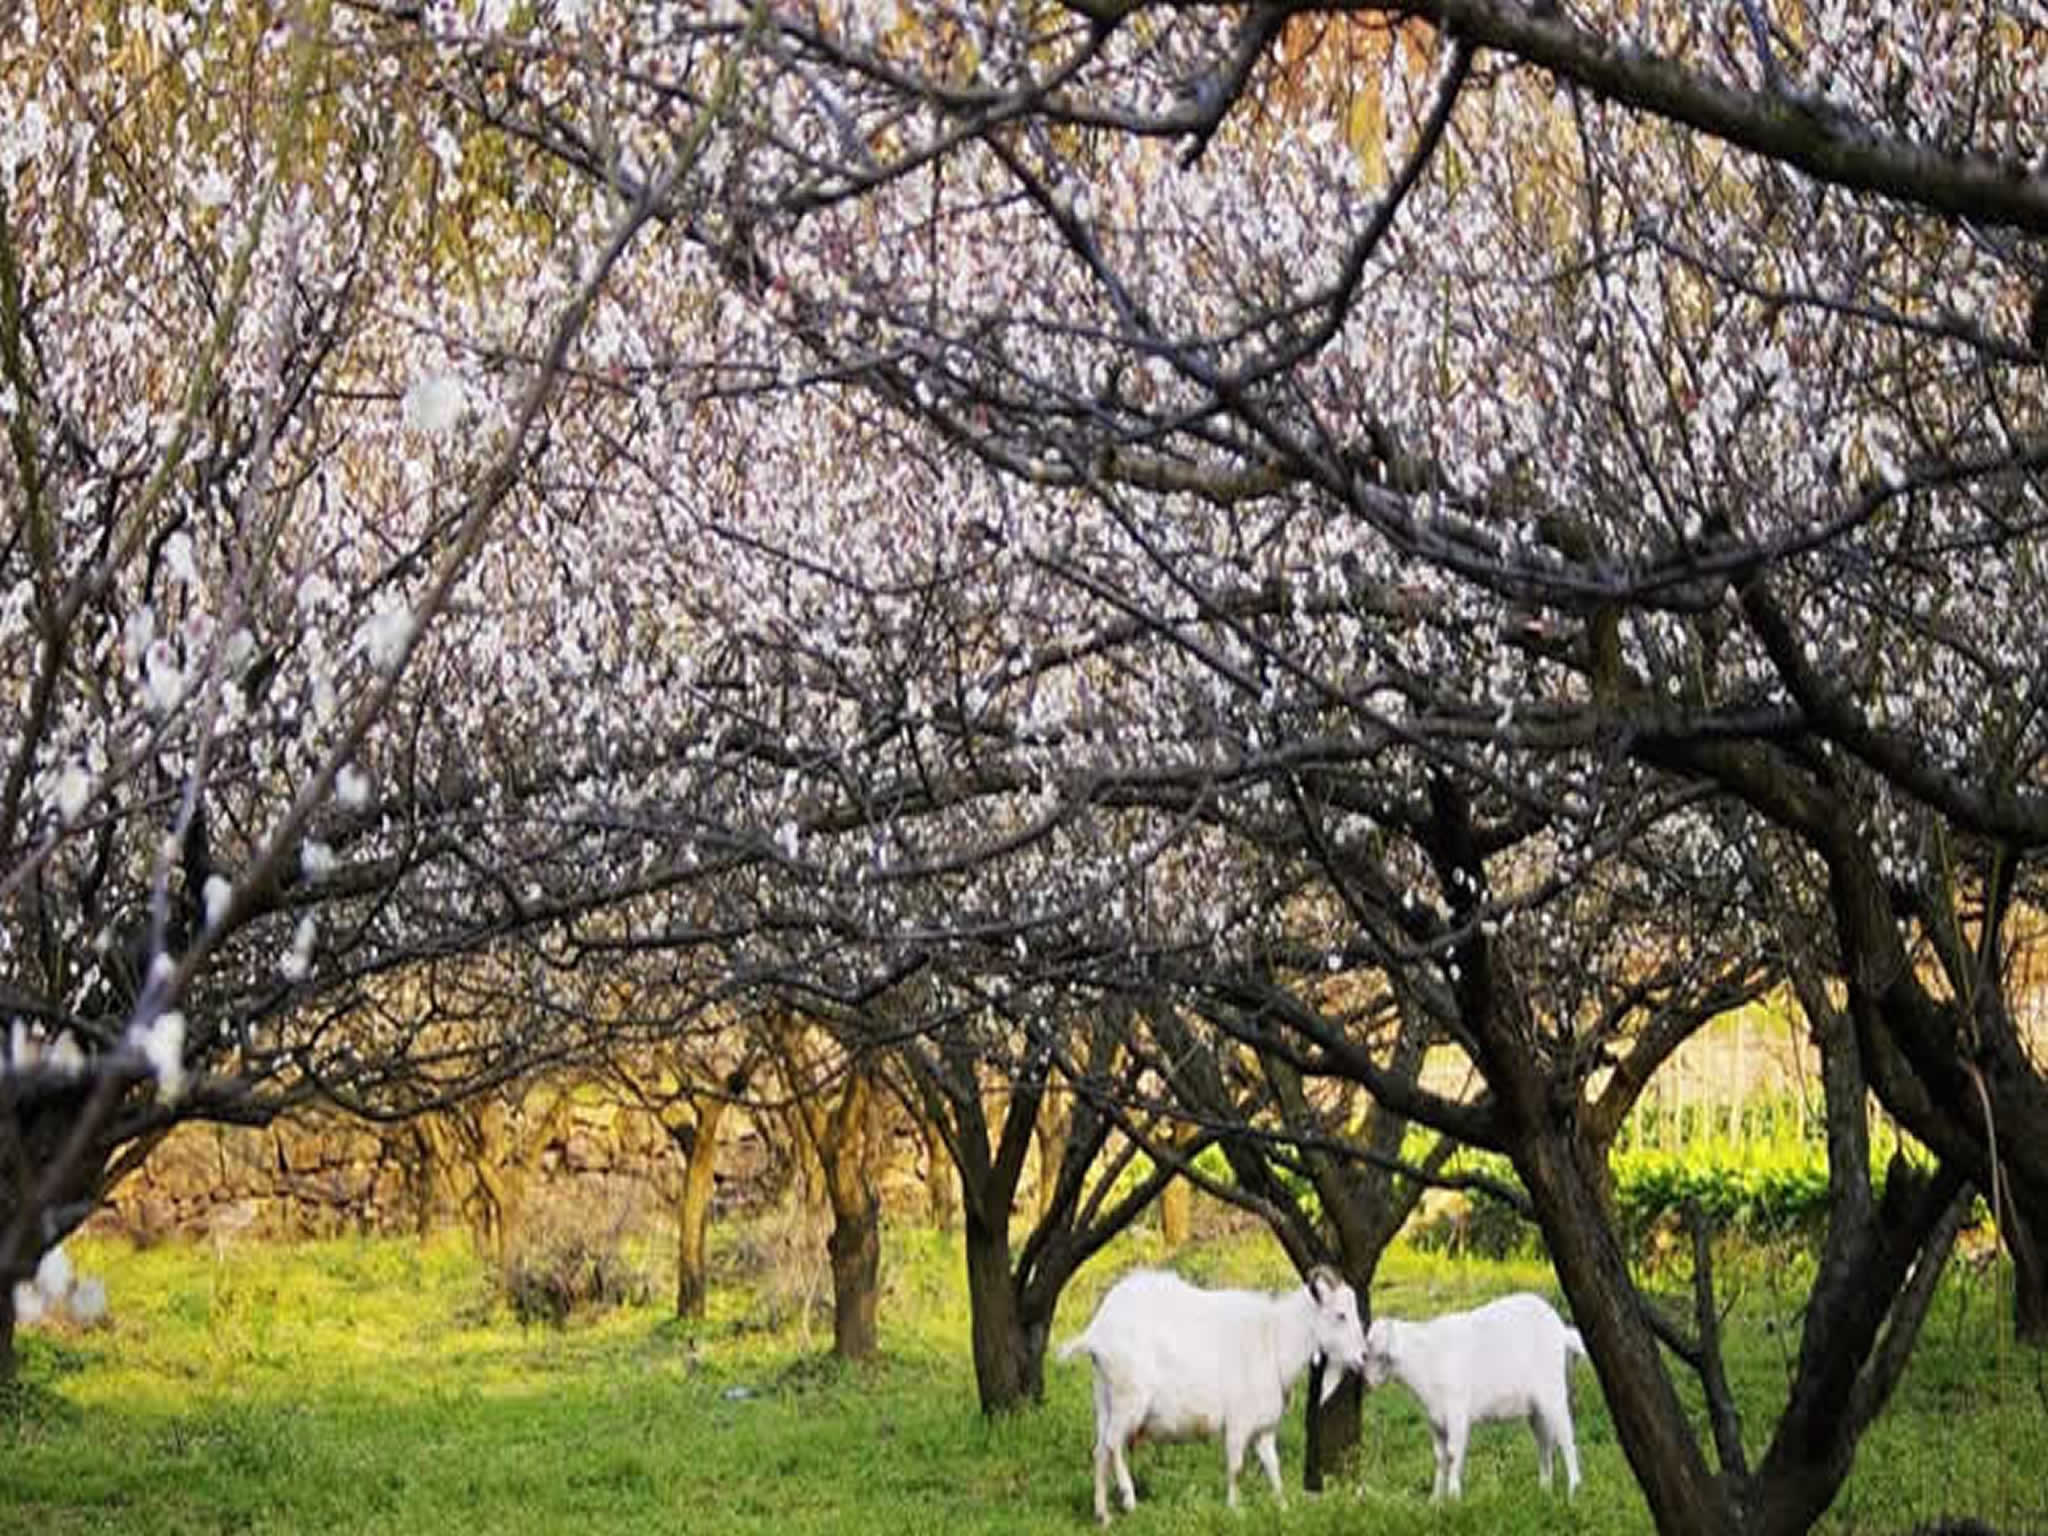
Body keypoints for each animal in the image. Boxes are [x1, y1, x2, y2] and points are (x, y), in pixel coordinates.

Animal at [1056, 1261, 1376, 1531]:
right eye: (1340, 1315)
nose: (1364, 1356)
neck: (1273, 1338)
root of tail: (1097, 1332)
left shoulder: (1264, 1429)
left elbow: (1274, 1469)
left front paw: (1283, 1510)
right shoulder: (1238, 1423)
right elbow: (1236, 1467)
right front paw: (1235, 1511)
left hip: (1104, 1398)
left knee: (1100, 1451)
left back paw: (1103, 1516)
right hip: (1129, 1397)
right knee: (1113, 1444)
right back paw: (1128, 1497)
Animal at [1368, 1294, 1589, 1499]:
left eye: (1377, 1353)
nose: (1369, 1381)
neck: (1424, 1358)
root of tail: (1561, 1331)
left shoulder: (1457, 1414)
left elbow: (1453, 1454)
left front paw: (1454, 1497)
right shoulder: (1435, 1421)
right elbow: (1440, 1457)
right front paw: (1435, 1500)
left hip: (1553, 1393)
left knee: (1566, 1439)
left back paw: (1574, 1490)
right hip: (1536, 1410)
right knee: (1544, 1444)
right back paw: (1544, 1491)